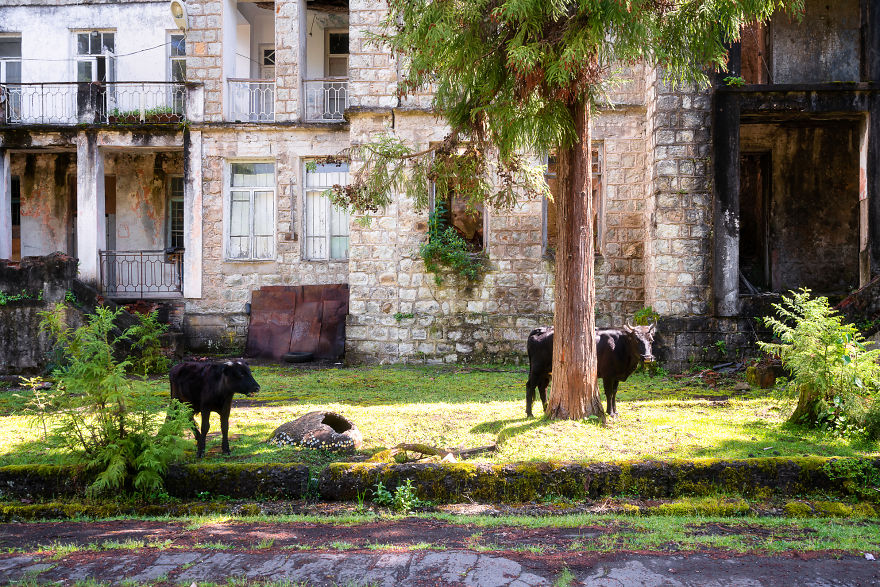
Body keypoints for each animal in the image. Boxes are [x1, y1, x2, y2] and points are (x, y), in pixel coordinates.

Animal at [525, 324, 656, 418]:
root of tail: (540, 329)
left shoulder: (616, 376)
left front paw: (615, 411)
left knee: (542, 388)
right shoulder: (608, 375)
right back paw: (529, 413)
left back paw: (545, 409)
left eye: (651, 340)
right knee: (530, 386)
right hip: (537, 368)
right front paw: (610, 412)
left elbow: (614, 393)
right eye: (636, 340)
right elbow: (609, 393)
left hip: (546, 372)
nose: (647, 357)